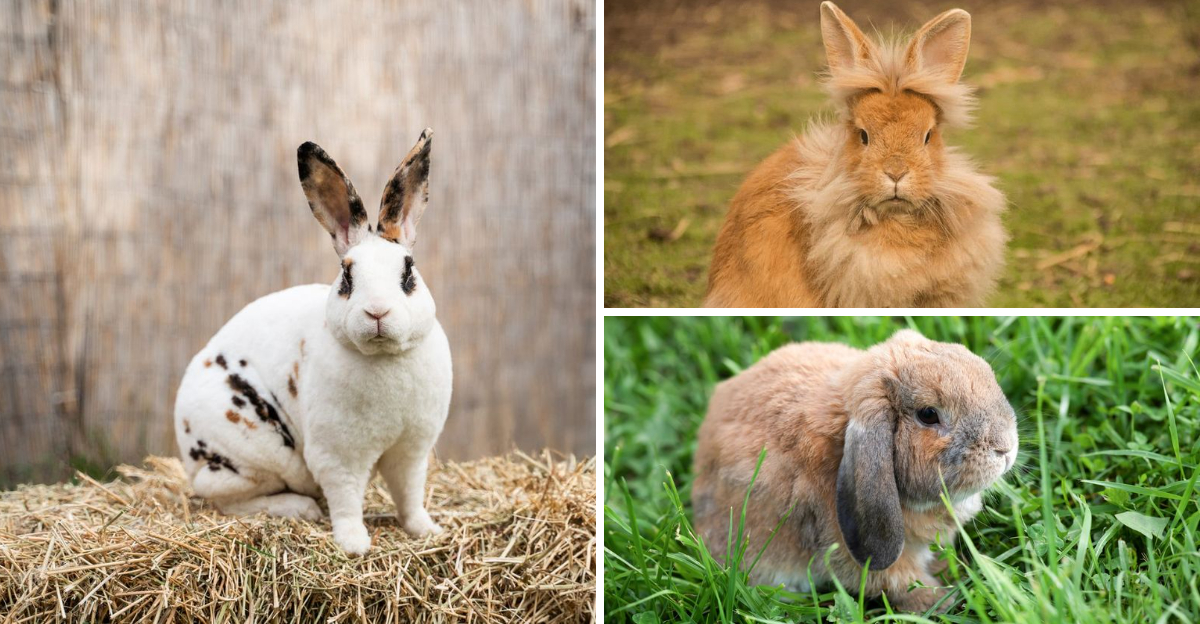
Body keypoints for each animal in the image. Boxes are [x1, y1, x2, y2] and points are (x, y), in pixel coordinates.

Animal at [173, 129, 452, 555]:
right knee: (224, 497)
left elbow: (409, 495)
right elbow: (346, 499)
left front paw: (427, 531)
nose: (377, 312)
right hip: (254, 455)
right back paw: (300, 508)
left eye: (409, 272)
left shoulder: (411, 450)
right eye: (346, 277)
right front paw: (354, 545)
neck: (385, 357)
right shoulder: (338, 455)